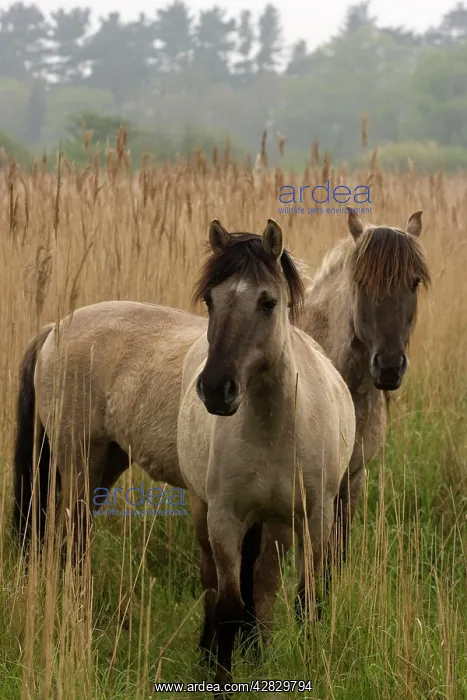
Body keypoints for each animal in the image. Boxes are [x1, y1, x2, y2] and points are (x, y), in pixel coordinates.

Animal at [176, 218, 356, 694]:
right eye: (210, 299)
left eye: (268, 302)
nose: (216, 389)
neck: (275, 429)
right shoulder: (225, 519)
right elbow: (228, 608)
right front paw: (221, 680)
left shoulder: (315, 517)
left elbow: (305, 600)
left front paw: (311, 670)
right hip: (205, 512)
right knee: (214, 586)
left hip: (277, 523)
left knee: (264, 586)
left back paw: (260, 656)